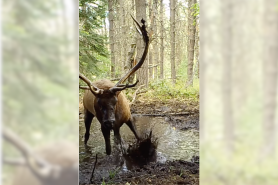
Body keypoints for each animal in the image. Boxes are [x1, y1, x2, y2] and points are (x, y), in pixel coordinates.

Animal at [79, 18, 150, 155]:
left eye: (115, 101)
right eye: (99, 103)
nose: (109, 122)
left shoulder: (128, 117)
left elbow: (138, 136)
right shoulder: (103, 127)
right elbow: (108, 150)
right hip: (87, 112)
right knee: (86, 134)